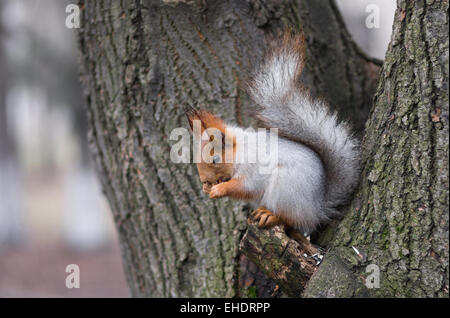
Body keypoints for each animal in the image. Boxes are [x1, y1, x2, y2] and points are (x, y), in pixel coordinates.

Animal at [185, 31, 358, 234]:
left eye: (215, 160)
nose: (204, 180)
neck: (239, 150)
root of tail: (317, 210)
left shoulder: (253, 168)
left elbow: (244, 186)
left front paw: (219, 189)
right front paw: (207, 188)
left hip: (285, 190)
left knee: (291, 219)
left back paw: (269, 215)